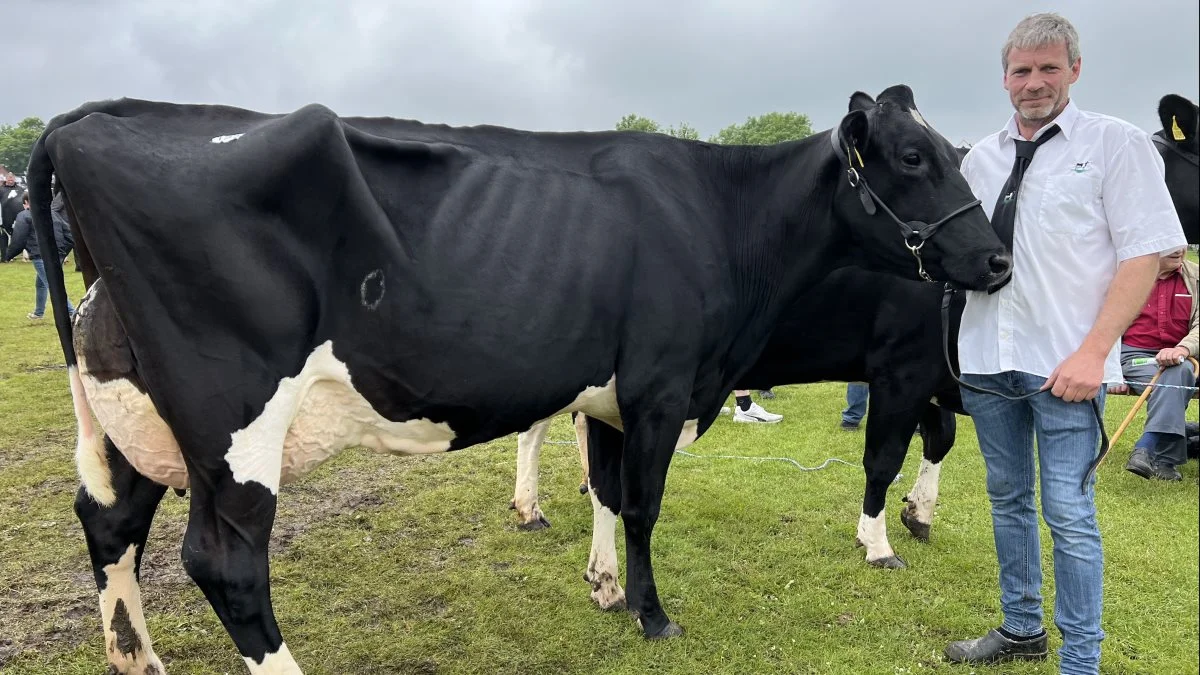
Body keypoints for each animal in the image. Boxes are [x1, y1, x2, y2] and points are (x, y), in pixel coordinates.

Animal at [30, 86, 1012, 667]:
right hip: (231, 420)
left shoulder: (613, 395)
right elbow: (649, 503)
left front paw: (605, 586)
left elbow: (609, 490)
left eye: (953, 154)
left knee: (110, 522)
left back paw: (136, 655)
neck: (722, 216)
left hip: (141, 413)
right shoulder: (667, 384)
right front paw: (656, 614)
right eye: (914, 159)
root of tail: (91, 117)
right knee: (225, 561)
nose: (998, 258)